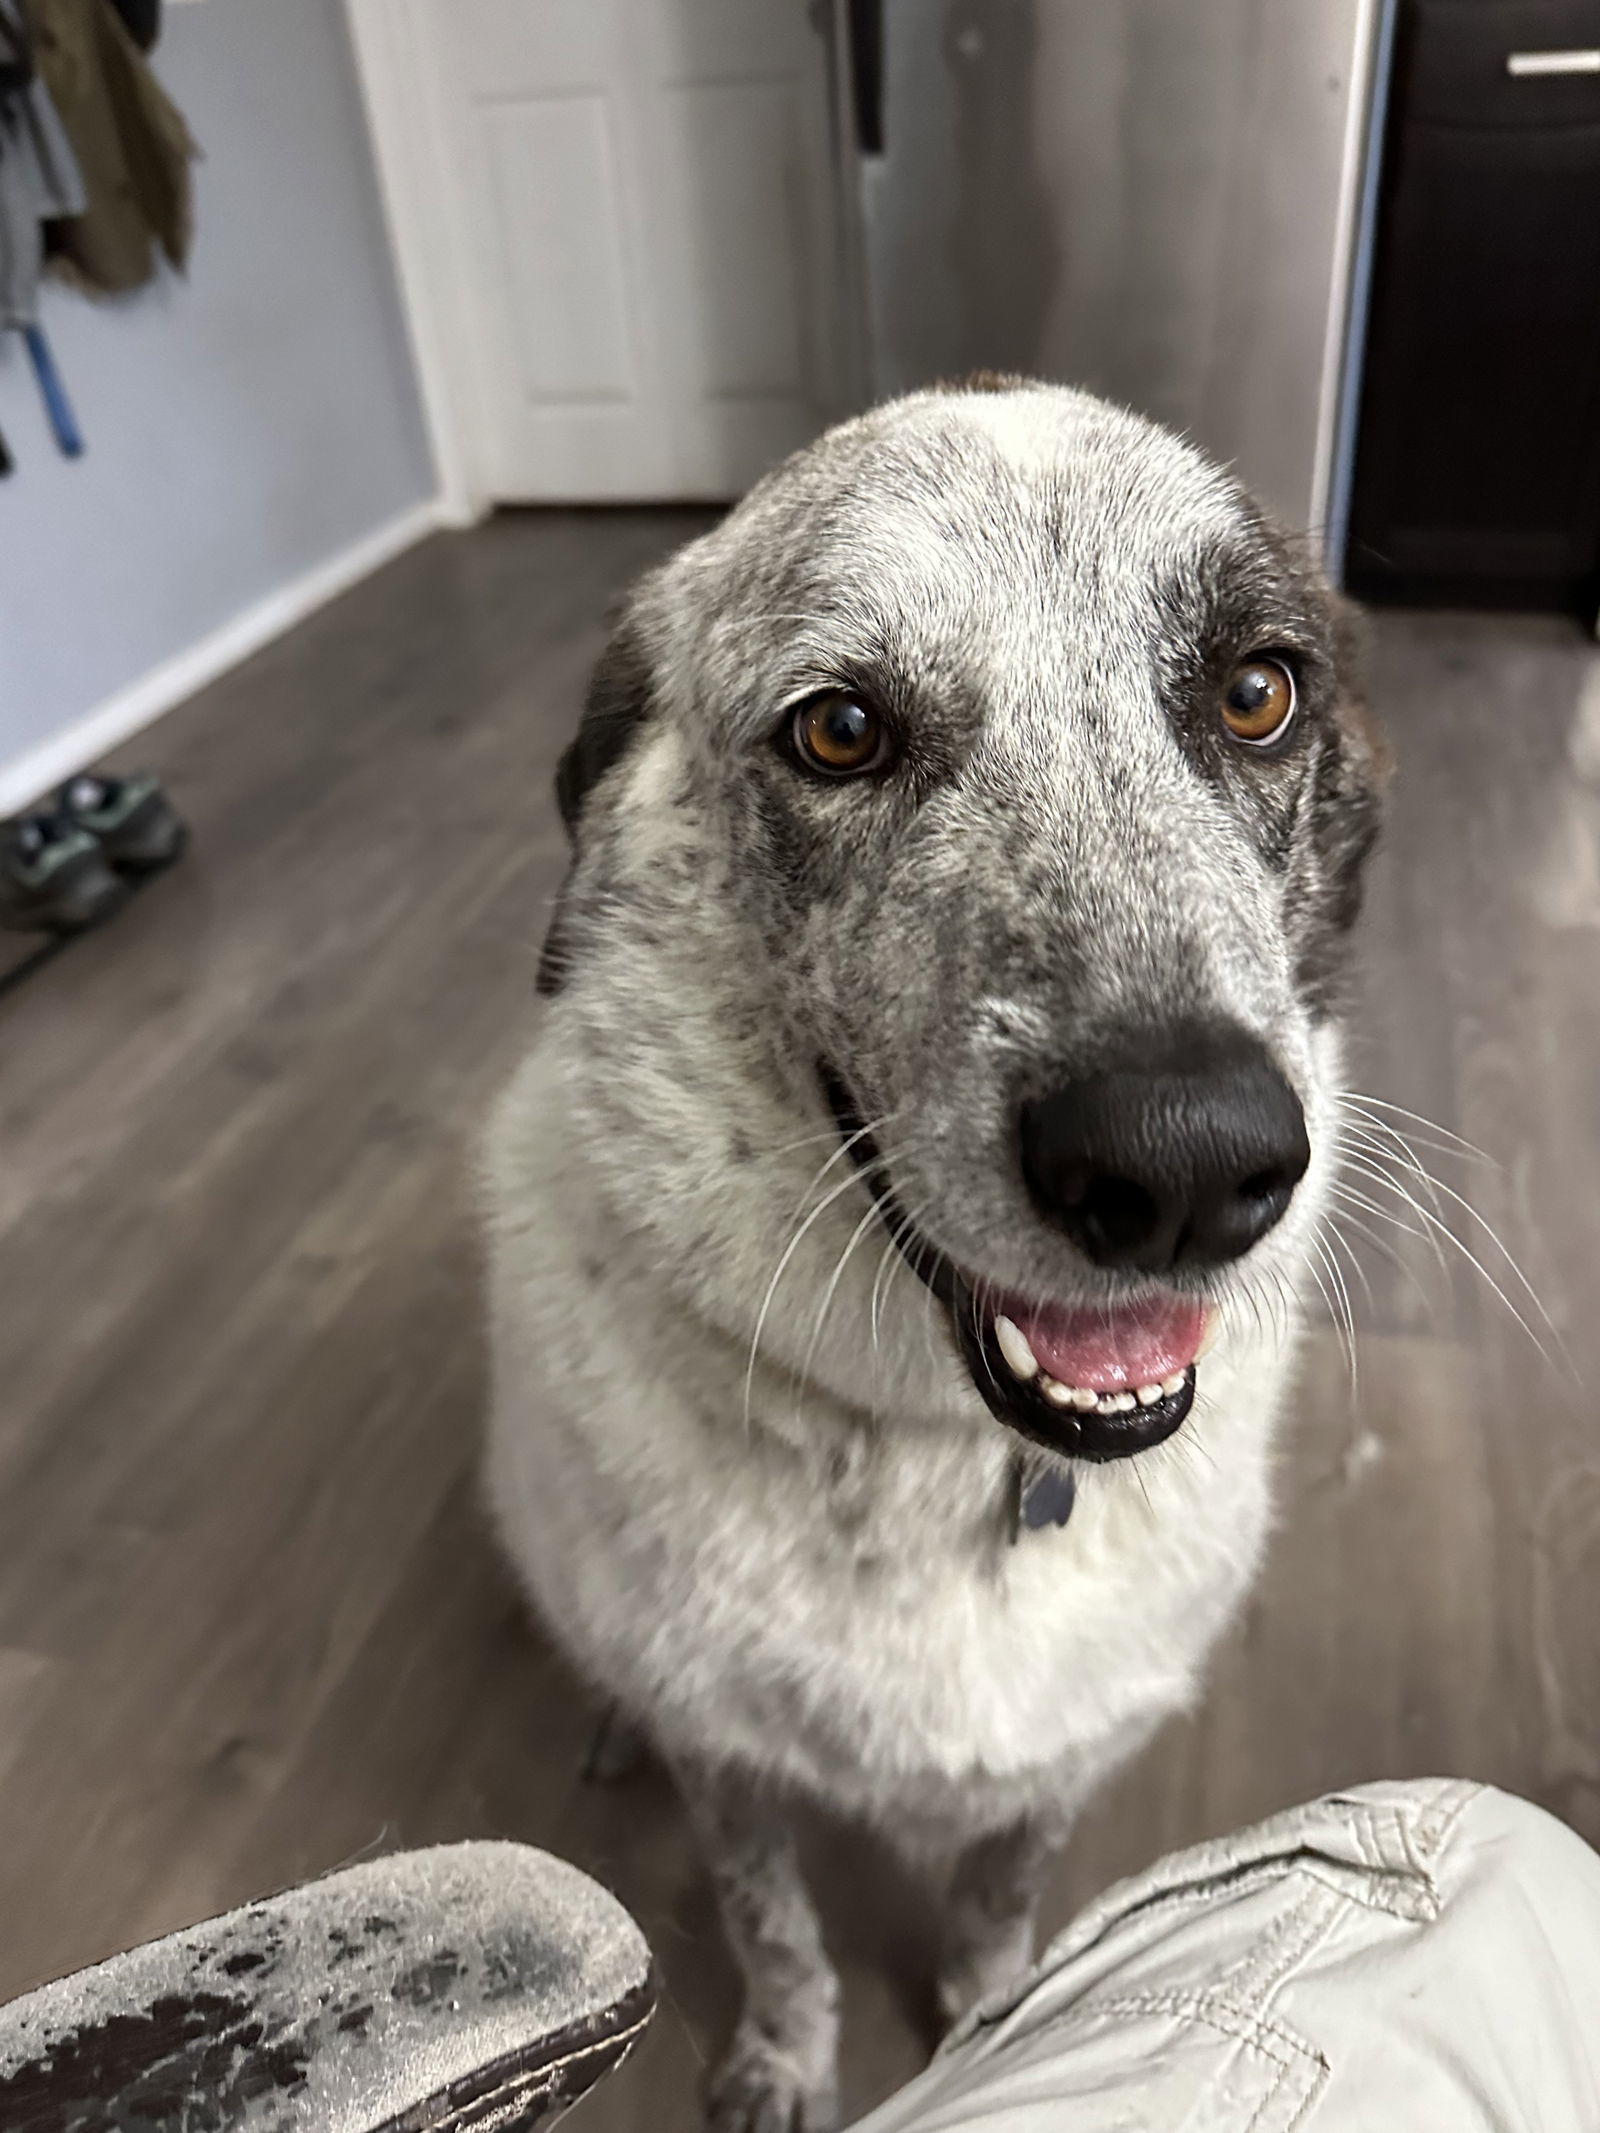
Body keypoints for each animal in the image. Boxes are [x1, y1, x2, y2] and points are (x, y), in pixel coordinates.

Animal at [482, 375, 1382, 2124]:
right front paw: (784, 2058)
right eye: (839, 730)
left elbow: (1001, 1889)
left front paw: (994, 2009)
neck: (948, 1456)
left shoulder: (1066, 1750)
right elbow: (770, 1923)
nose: (1183, 1165)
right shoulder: (732, 1762)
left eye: (1255, 691)